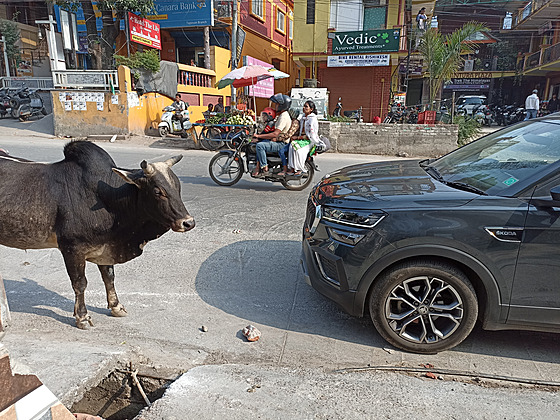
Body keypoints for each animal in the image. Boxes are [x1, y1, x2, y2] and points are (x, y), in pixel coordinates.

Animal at [0, 141, 195, 328]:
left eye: (177, 186)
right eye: (157, 191)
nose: (188, 222)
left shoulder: (106, 247)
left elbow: (109, 277)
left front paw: (116, 307)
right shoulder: (72, 248)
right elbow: (80, 283)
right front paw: (82, 317)